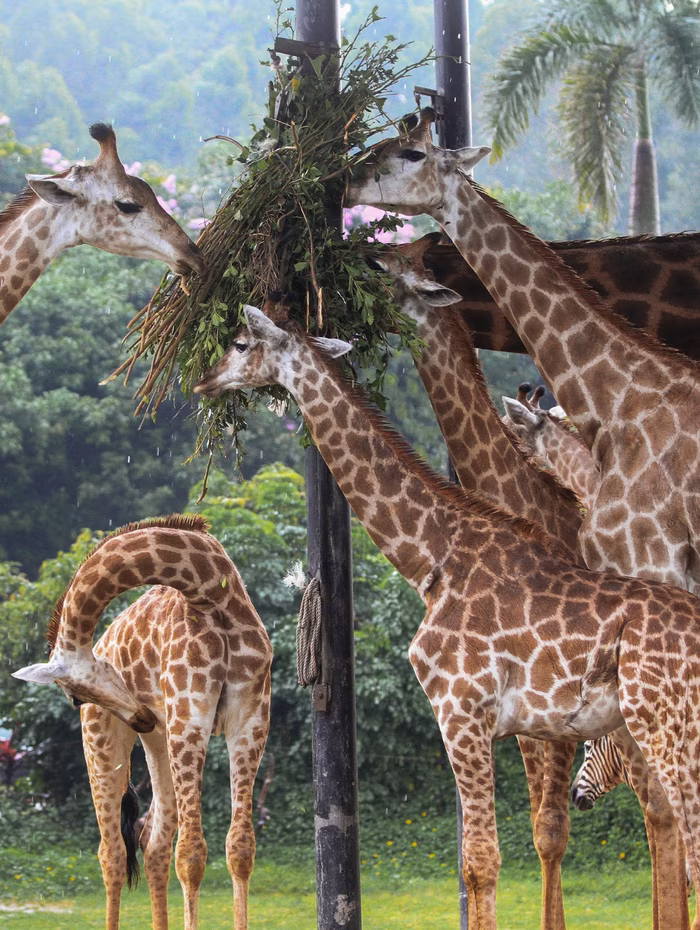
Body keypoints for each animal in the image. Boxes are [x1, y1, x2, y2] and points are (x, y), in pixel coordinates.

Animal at [13, 515, 272, 930]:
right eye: (75, 699)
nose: (142, 717)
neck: (210, 590)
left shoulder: (250, 720)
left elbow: (240, 848)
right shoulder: (191, 717)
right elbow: (192, 855)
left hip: (162, 743)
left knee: (154, 841)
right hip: (106, 744)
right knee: (113, 852)